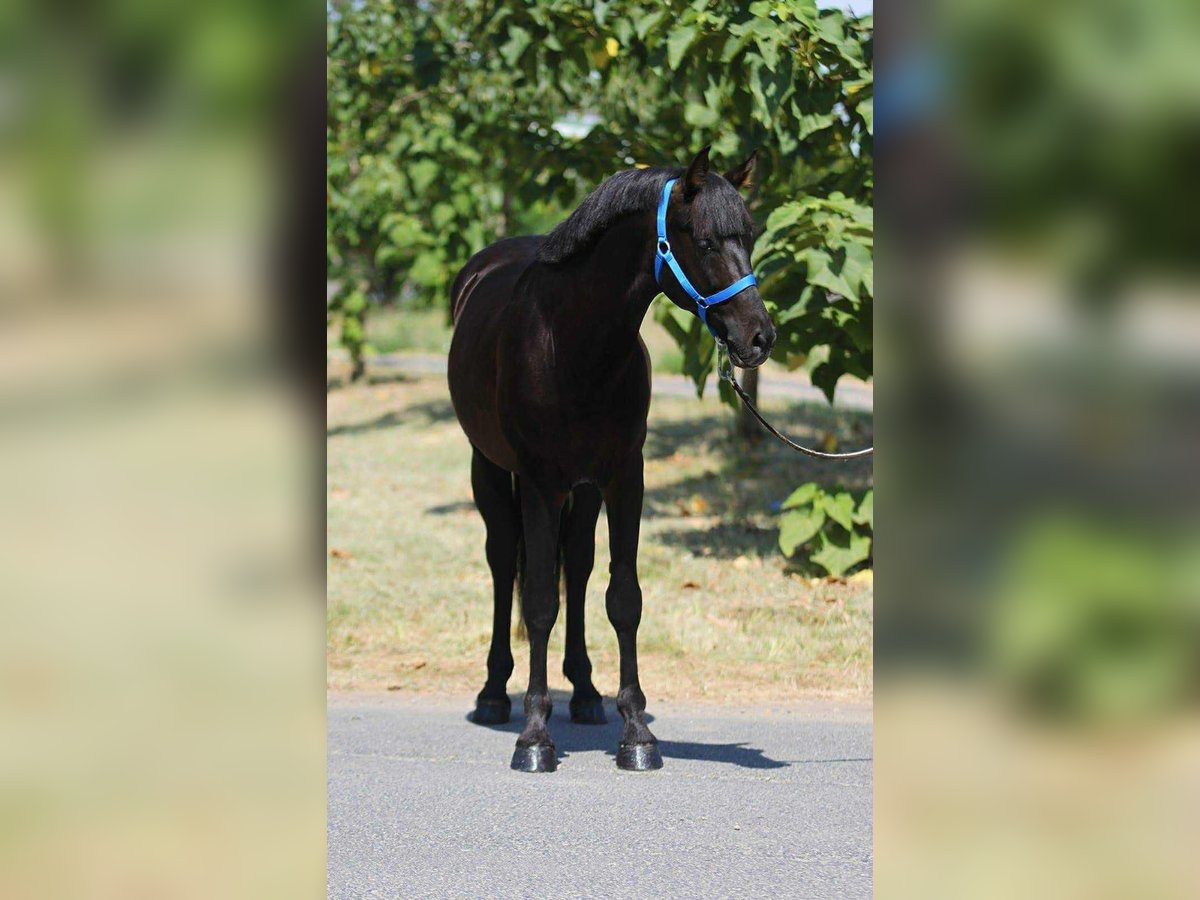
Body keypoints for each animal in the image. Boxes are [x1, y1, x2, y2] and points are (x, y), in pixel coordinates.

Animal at [447, 146, 776, 772]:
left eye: (749, 238)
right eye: (705, 242)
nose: (759, 337)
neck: (572, 343)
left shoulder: (625, 476)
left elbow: (622, 597)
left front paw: (635, 733)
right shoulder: (539, 482)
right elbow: (539, 603)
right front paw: (534, 737)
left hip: (584, 488)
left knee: (576, 566)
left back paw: (583, 692)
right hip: (489, 468)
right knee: (503, 563)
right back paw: (494, 694)